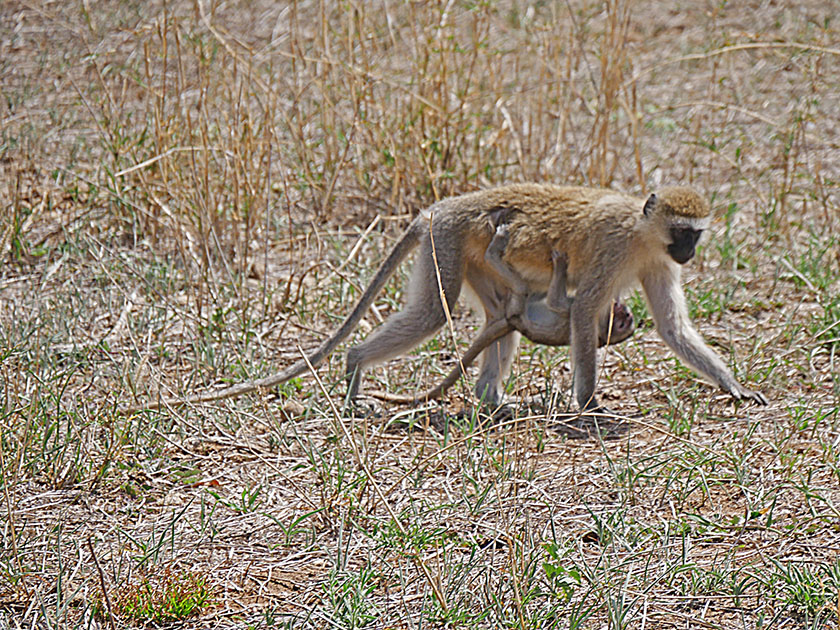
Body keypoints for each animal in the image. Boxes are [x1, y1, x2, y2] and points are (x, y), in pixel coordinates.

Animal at [126, 185, 768, 418]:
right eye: (683, 231)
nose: (690, 251)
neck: (642, 234)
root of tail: (440, 209)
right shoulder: (611, 252)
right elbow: (586, 312)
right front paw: (587, 404)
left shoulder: (657, 265)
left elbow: (672, 327)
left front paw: (733, 388)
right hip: (450, 245)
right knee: (436, 314)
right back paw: (355, 369)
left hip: (471, 261)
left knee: (503, 317)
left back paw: (491, 400)